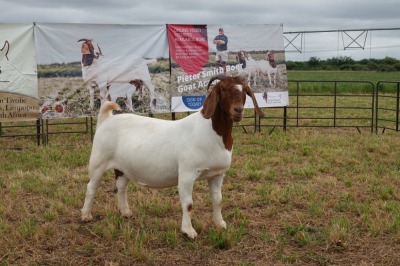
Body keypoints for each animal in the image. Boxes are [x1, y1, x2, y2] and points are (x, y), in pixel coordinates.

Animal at [80, 75, 266, 239]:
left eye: (245, 90)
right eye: (223, 89)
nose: (238, 110)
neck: (211, 133)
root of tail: (106, 119)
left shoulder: (217, 174)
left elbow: (217, 200)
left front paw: (220, 224)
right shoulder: (187, 173)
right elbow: (188, 203)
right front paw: (188, 231)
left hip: (123, 167)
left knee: (121, 187)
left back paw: (126, 212)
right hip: (98, 161)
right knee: (91, 187)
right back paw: (86, 215)